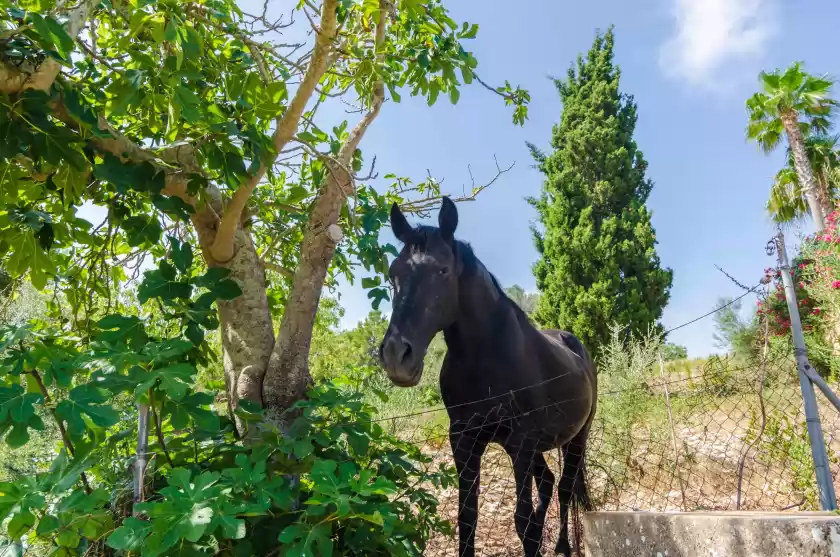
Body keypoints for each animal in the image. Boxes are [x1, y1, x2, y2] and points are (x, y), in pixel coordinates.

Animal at [378, 200, 600, 556]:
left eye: (443, 270)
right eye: (393, 274)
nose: (396, 355)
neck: (486, 359)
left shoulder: (520, 442)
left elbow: (523, 522)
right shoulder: (464, 439)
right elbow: (468, 517)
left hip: (577, 436)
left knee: (565, 489)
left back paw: (563, 546)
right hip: (539, 447)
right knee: (548, 484)